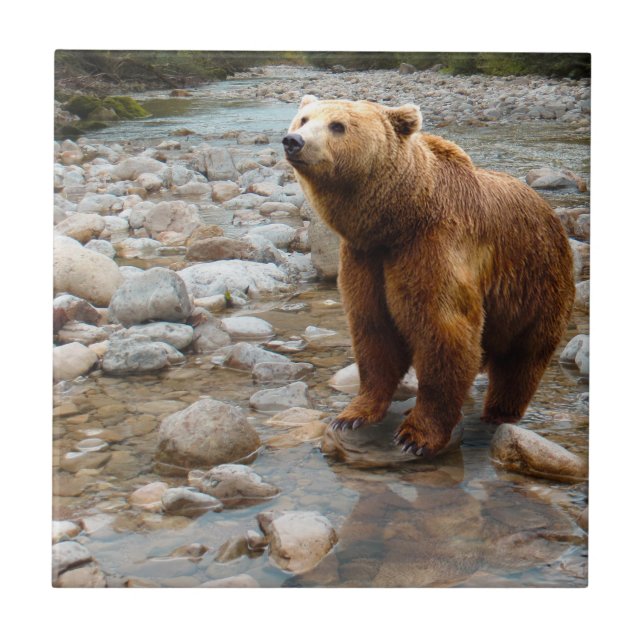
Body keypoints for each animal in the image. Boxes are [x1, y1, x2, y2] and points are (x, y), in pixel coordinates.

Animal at [282, 95, 575, 457]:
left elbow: (443, 332)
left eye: (338, 125)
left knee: (522, 358)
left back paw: (498, 411)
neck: (398, 219)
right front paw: (352, 415)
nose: (293, 141)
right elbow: (373, 331)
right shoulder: (365, 258)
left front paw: (415, 436)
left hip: (536, 282)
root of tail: (550, 210)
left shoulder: (432, 247)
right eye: (304, 119)